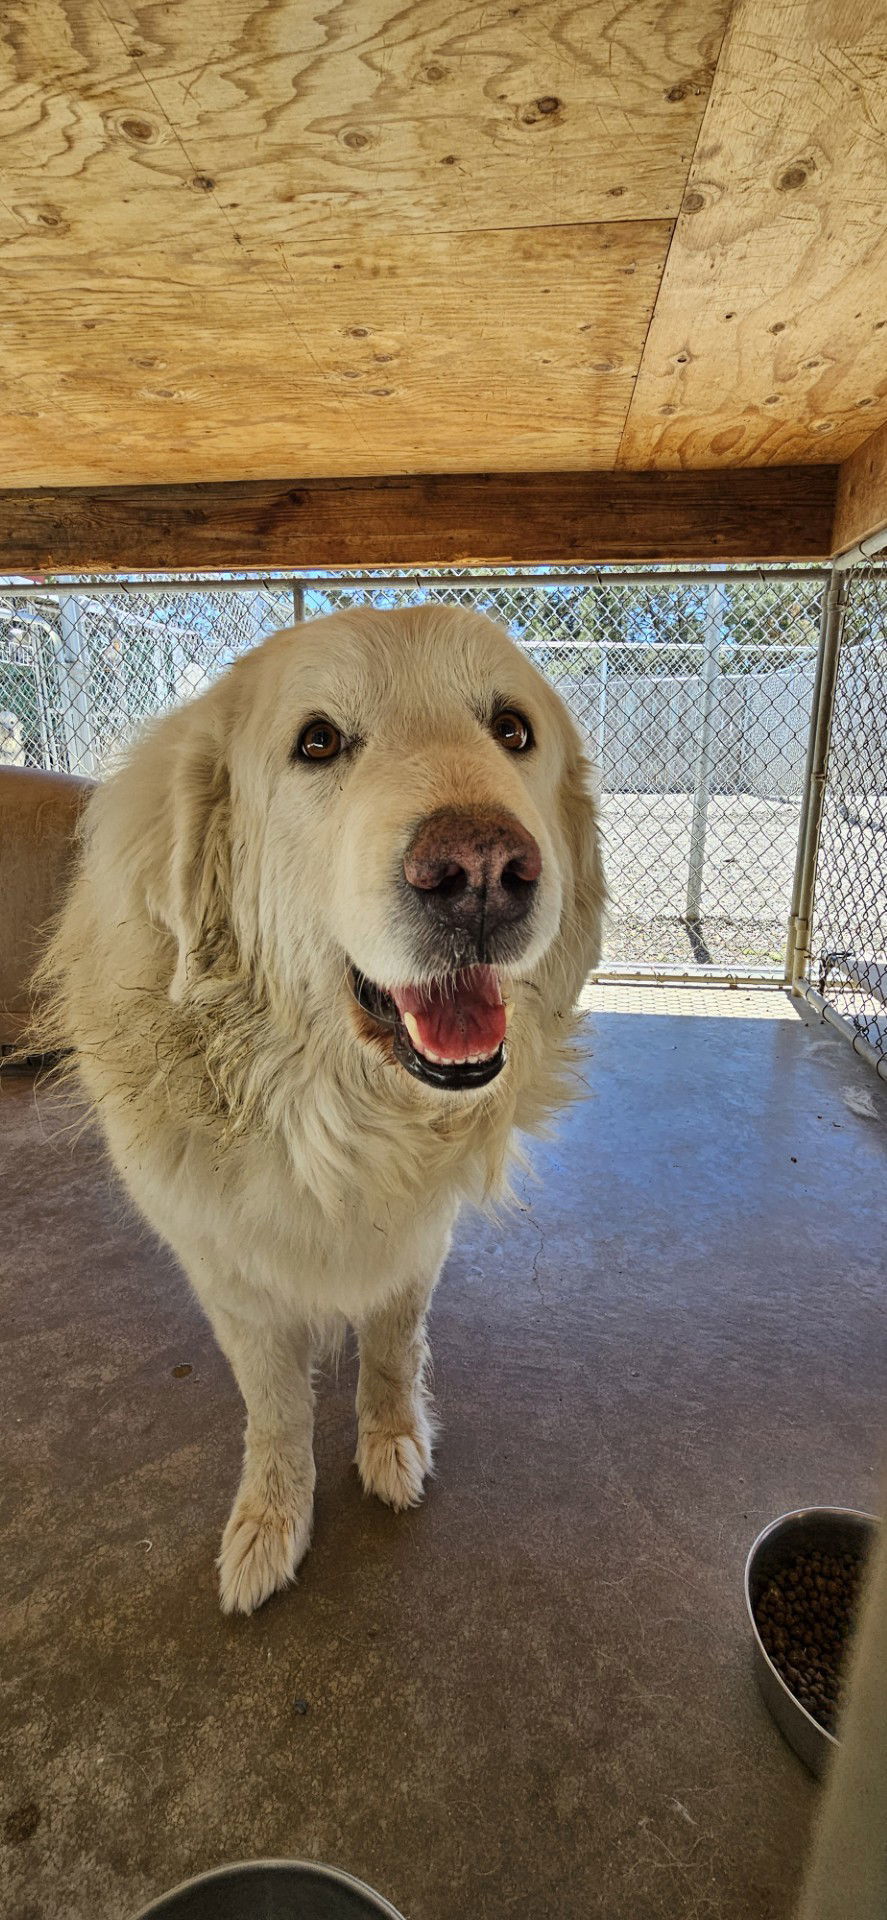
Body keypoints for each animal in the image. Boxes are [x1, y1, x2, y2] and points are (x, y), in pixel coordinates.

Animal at [36, 599, 602, 1605]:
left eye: (511, 731)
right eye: (318, 743)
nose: (480, 870)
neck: (335, 1121)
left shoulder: (414, 1247)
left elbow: (391, 1348)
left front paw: (391, 1440)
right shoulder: (229, 1276)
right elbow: (274, 1409)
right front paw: (271, 1518)